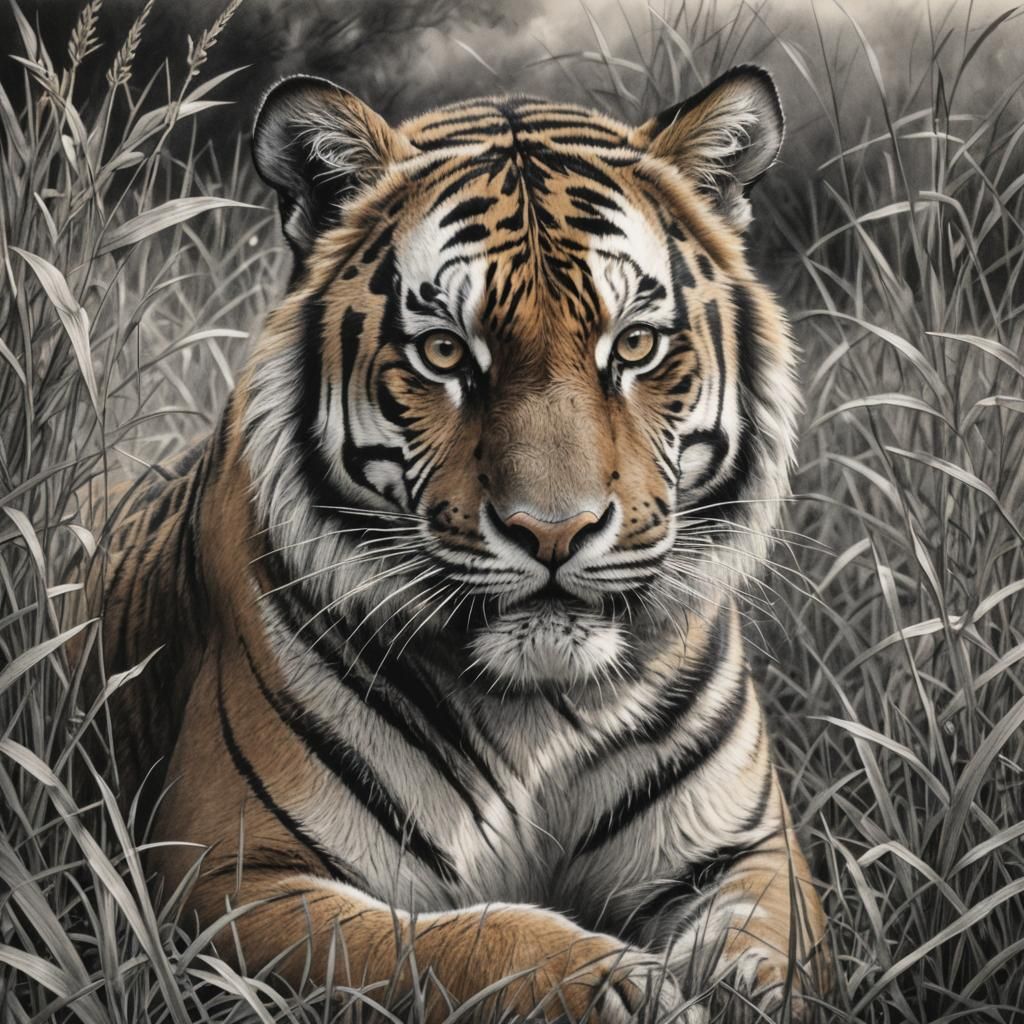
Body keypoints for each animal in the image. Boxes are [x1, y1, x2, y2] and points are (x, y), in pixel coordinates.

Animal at [88, 65, 831, 1022]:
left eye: (633, 344)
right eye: (444, 352)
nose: (553, 531)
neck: (543, 710)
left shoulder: (751, 854)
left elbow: (766, 959)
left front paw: (726, 988)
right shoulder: (224, 876)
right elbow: (457, 942)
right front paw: (624, 987)